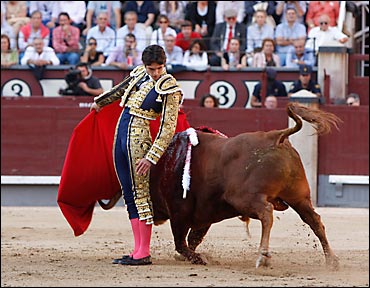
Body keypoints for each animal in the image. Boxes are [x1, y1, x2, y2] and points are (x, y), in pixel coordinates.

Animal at [99, 102, 342, 268]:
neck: (163, 165)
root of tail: (277, 136)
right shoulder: (203, 215)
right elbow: (193, 239)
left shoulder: (179, 212)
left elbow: (181, 242)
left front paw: (196, 258)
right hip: (299, 197)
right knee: (314, 221)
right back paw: (332, 260)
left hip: (245, 198)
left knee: (266, 212)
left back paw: (263, 256)